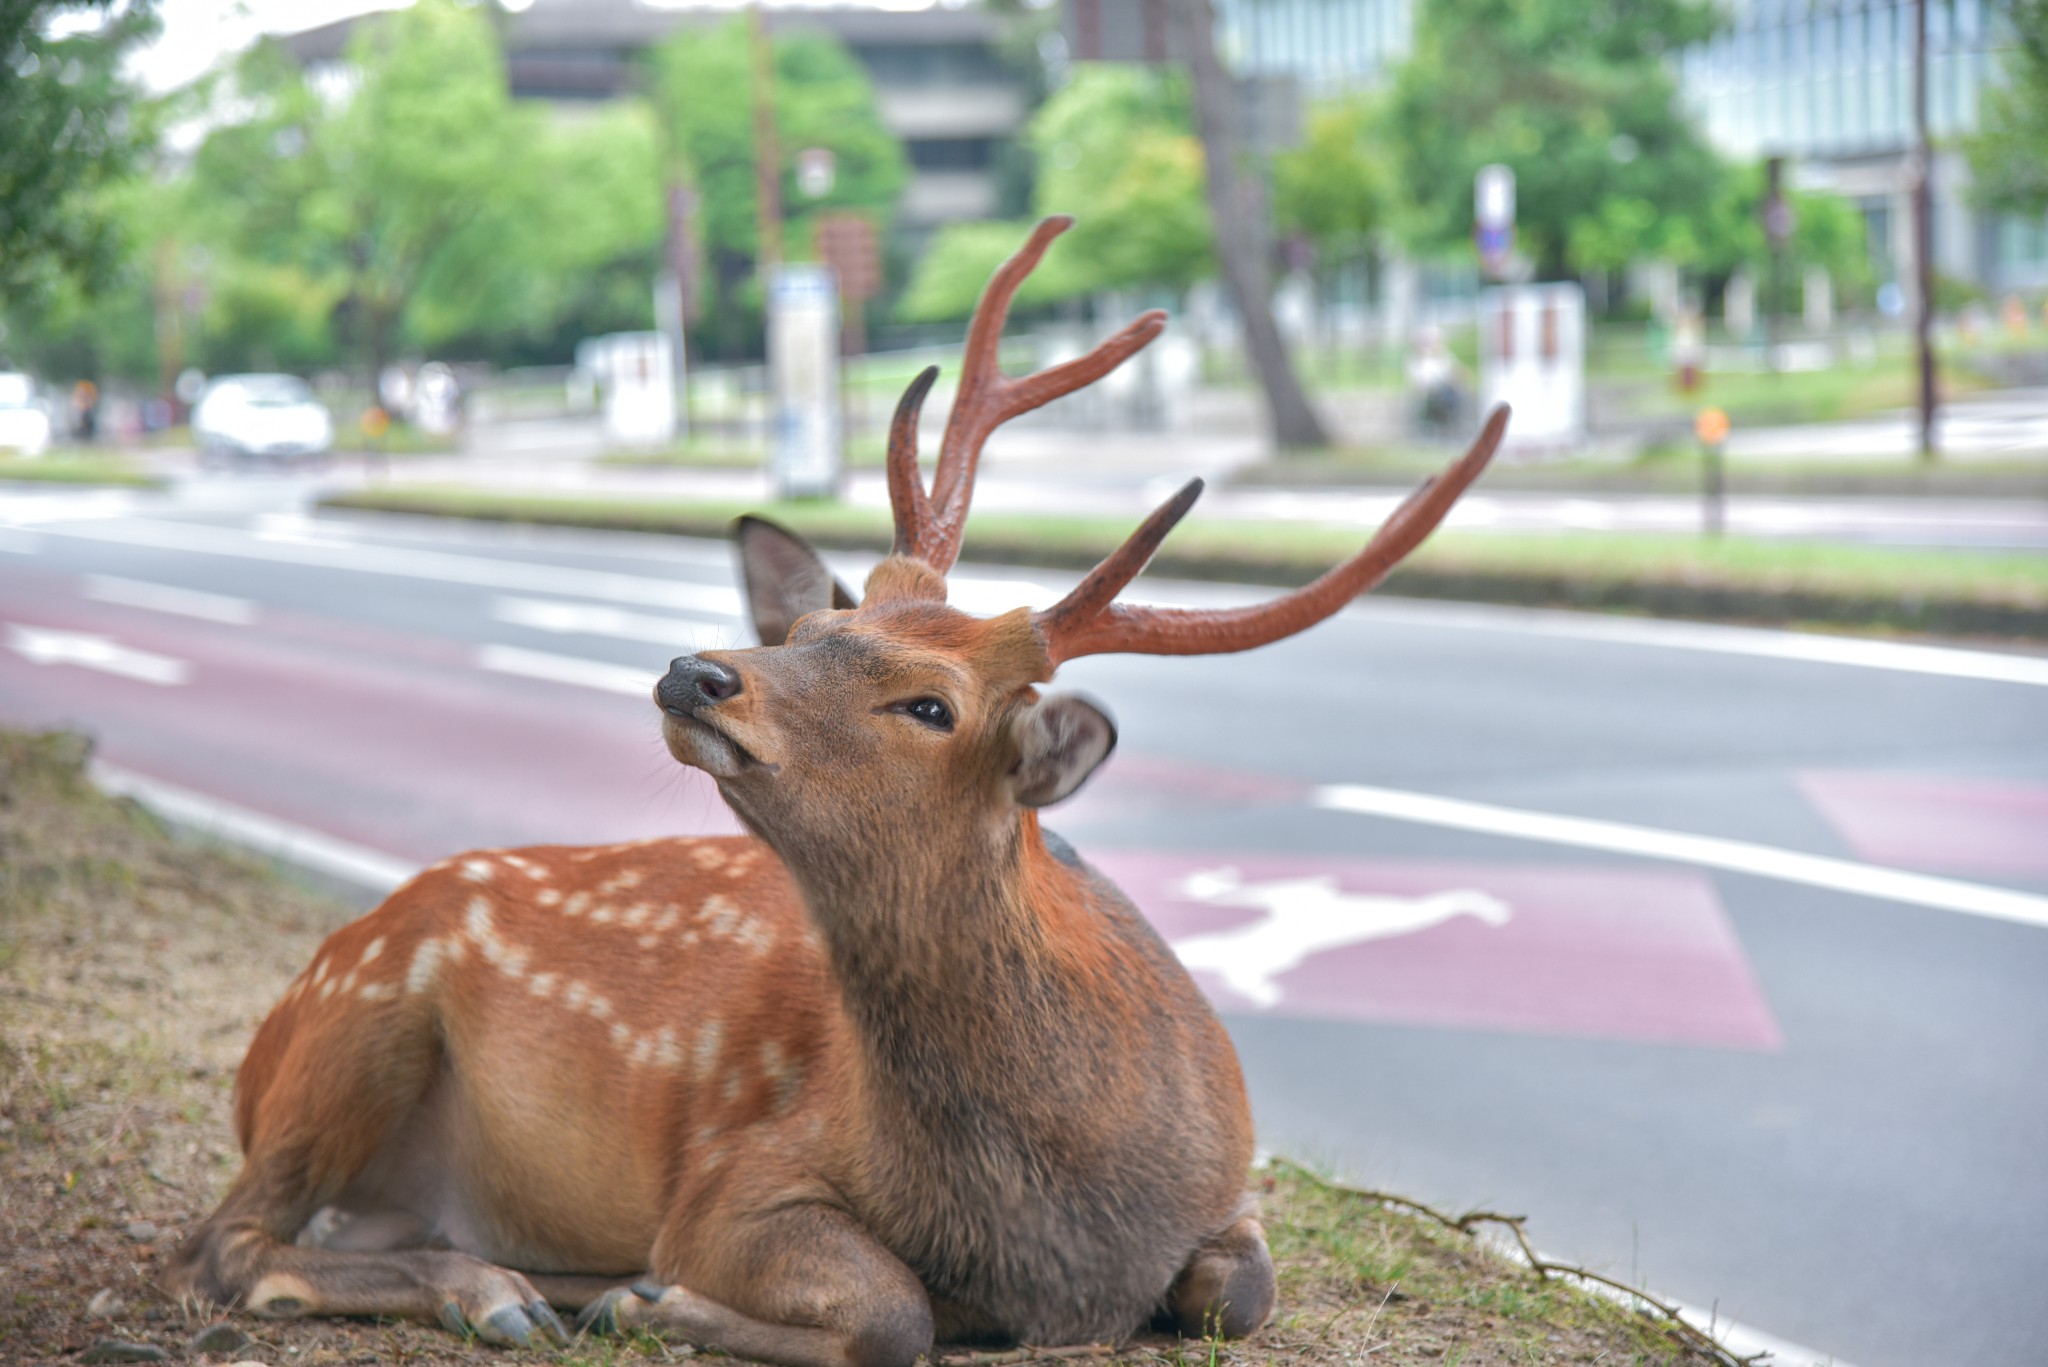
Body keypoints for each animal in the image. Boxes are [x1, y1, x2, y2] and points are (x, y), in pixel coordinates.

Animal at [163, 219, 1507, 1360]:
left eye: (930, 704)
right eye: (813, 624)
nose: (695, 671)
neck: (1057, 1229)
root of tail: (276, 1028)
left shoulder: (1229, 1196)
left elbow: (1239, 1289)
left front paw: (629, 1297)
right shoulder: (734, 1175)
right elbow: (892, 1310)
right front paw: (649, 1298)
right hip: (361, 1015)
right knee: (227, 1242)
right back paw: (499, 1293)